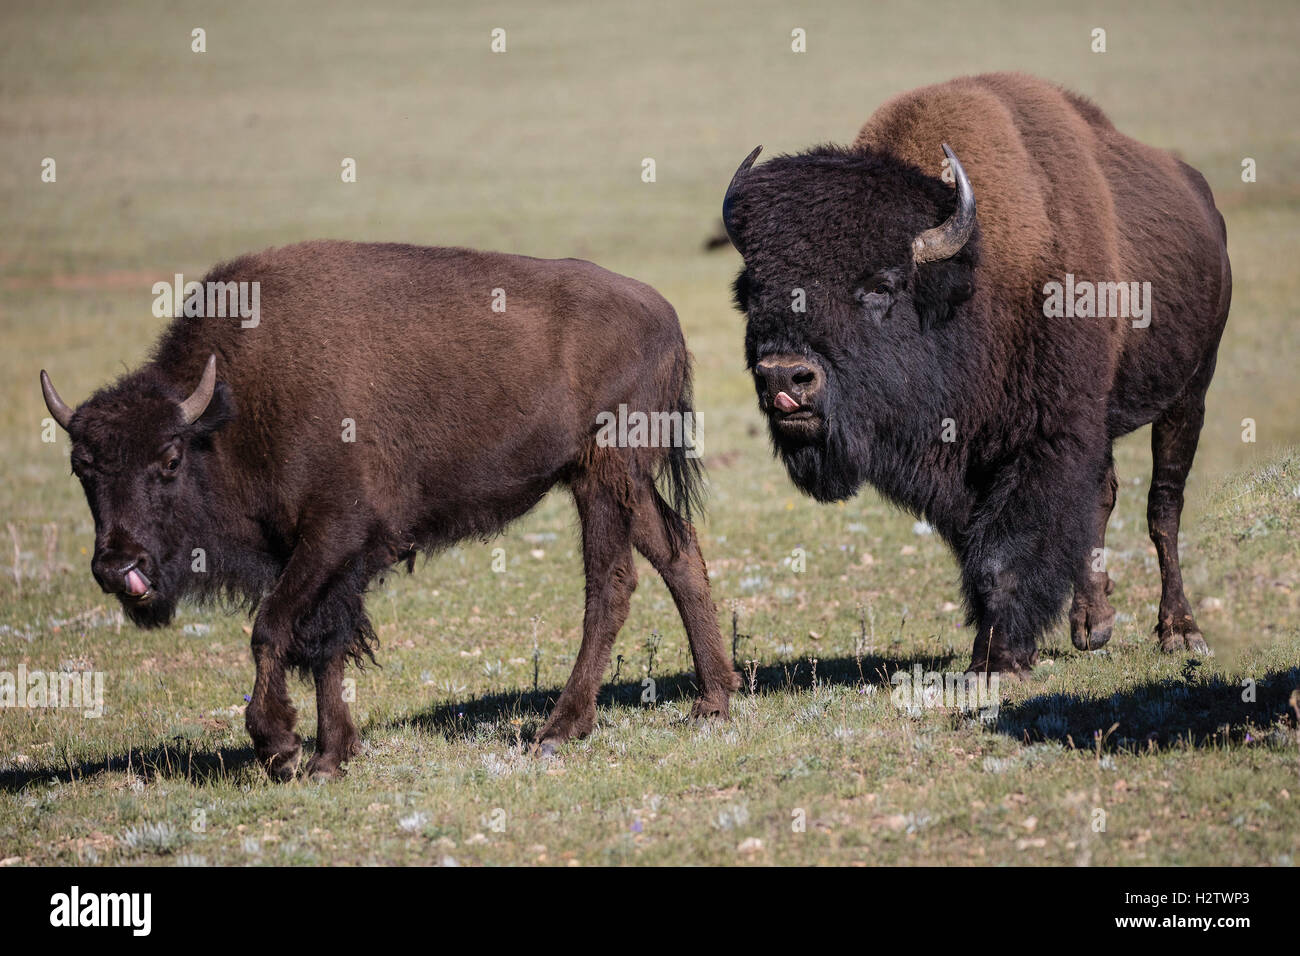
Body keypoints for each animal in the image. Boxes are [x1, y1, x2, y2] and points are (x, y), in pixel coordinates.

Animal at [43, 239, 743, 780]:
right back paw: (712, 701)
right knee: (678, 551)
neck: (227, 413)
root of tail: (665, 314)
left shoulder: (335, 536)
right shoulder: (317, 556)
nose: (117, 565)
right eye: (81, 467)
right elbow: (323, 643)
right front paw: (330, 756)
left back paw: (559, 728)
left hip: (604, 476)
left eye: (168, 460)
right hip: (618, 481)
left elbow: (273, 628)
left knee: (611, 585)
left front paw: (280, 746)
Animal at [728, 72, 1232, 671]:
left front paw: (995, 661)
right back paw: (1092, 624)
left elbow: (1005, 555)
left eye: (881, 285)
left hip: (1190, 392)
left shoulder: (1046, 439)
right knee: (1104, 496)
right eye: (751, 292)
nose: (785, 378)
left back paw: (1181, 632)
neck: (971, 280)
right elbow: (990, 547)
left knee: (1164, 506)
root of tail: (1206, 206)